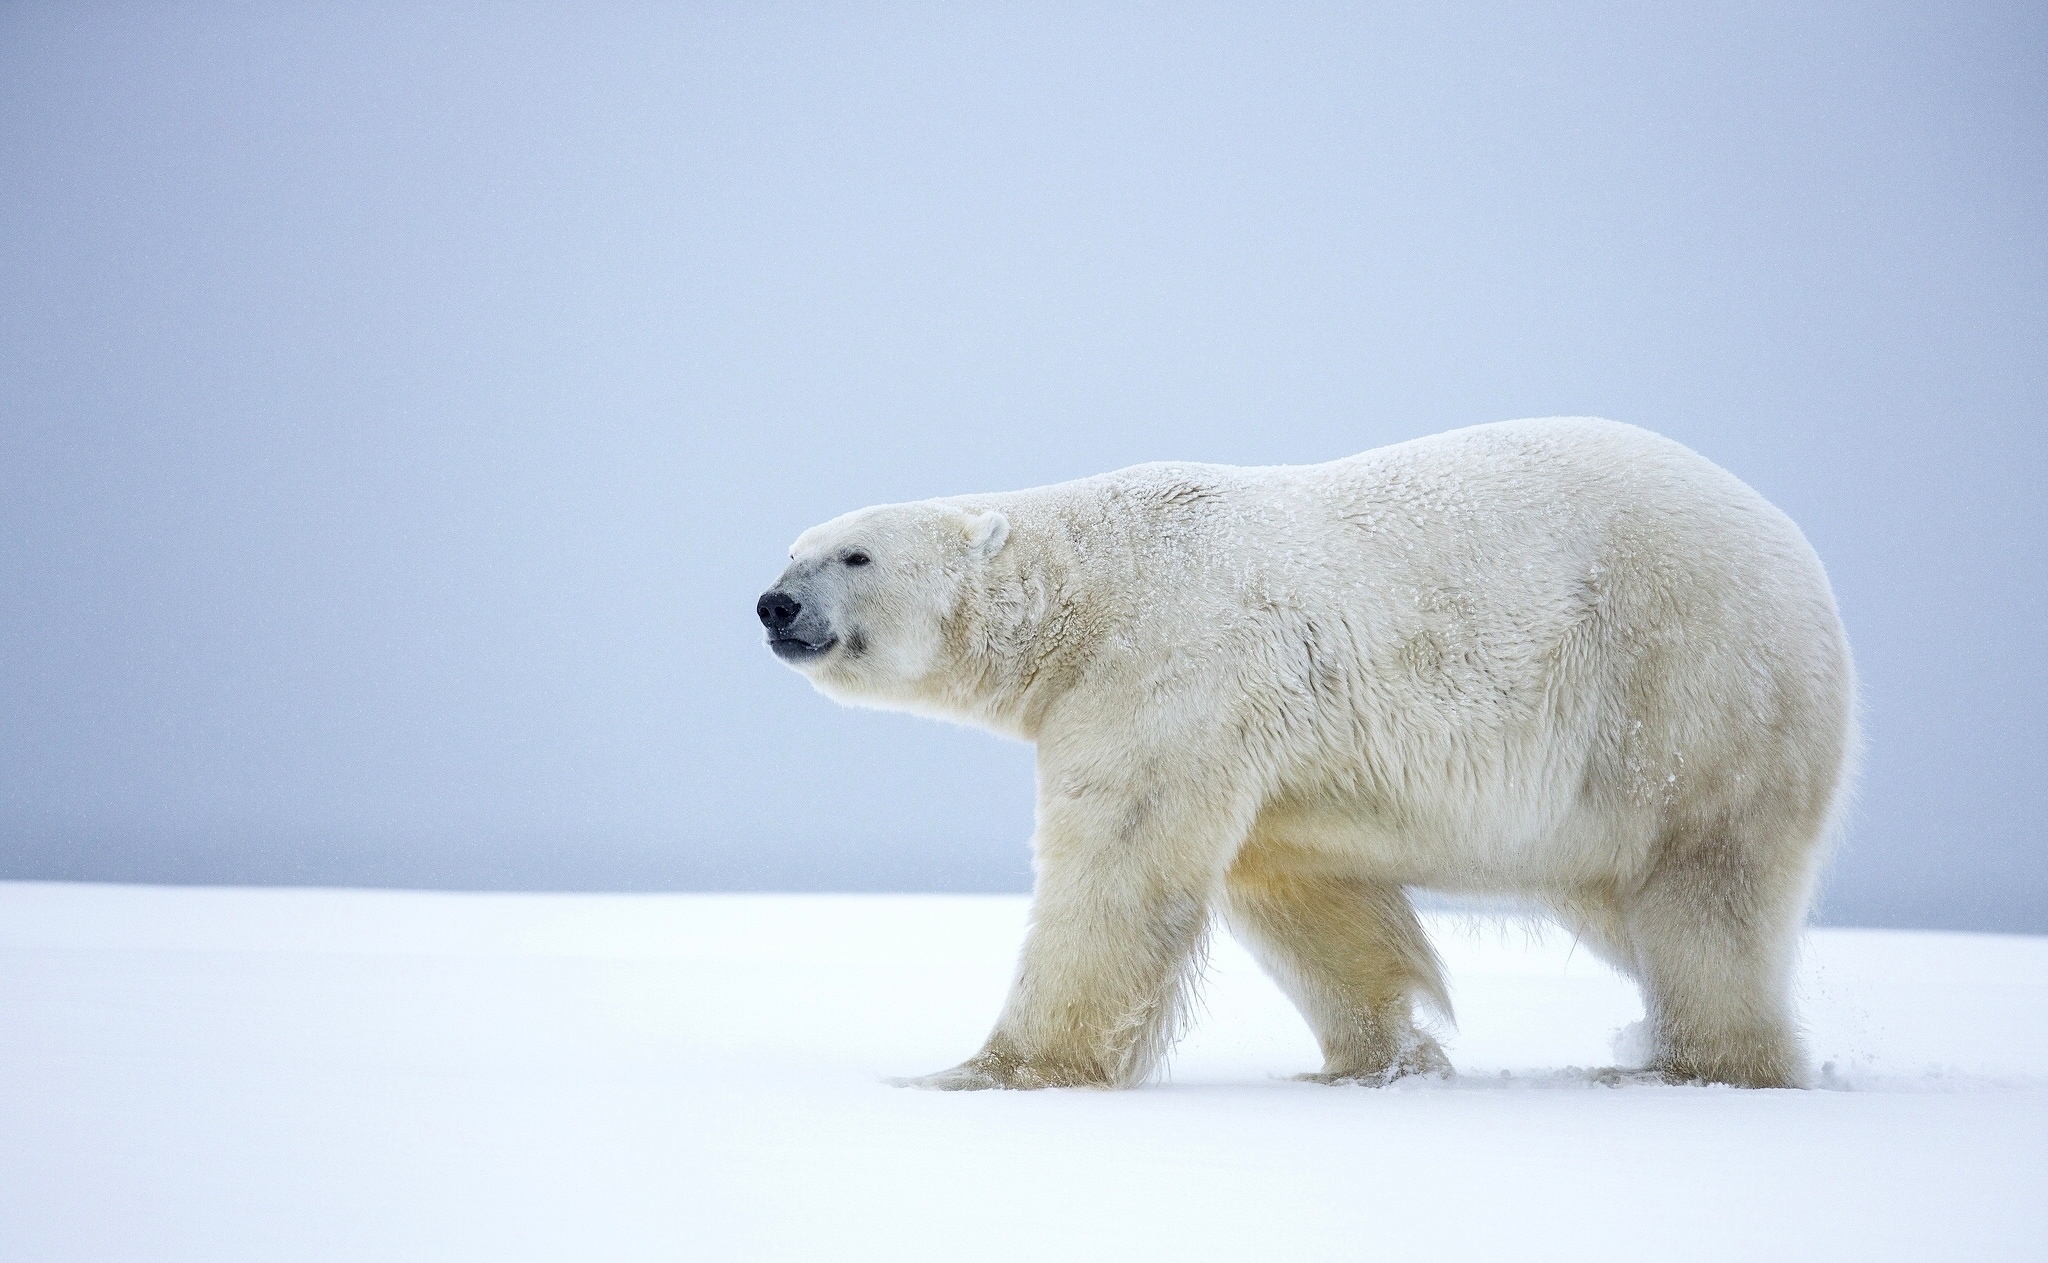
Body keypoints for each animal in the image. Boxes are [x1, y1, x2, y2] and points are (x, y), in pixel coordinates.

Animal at [753, 419, 1859, 1089]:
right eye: (792, 550)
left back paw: (1691, 1064)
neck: (1091, 585)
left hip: (1689, 688)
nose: (774, 605)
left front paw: (988, 1070)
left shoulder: (1165, 666)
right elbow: (1300, 888)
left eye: (853, 553)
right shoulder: (1263, 743)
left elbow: (1118, 872)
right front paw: (1374, 1059)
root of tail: (1804, 566)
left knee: (1706, 894)